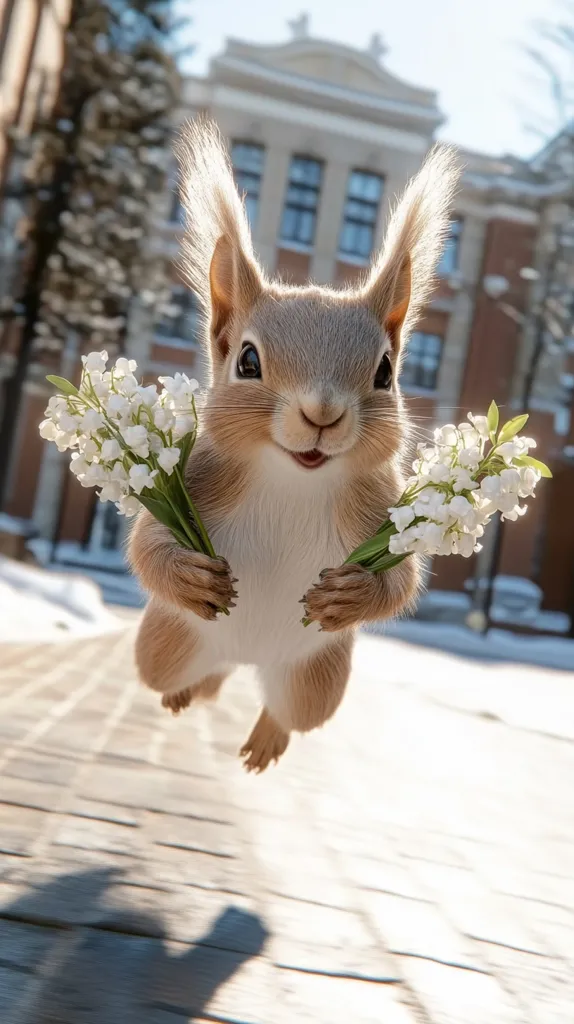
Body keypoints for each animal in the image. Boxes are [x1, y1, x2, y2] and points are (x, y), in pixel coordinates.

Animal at [129, 119, 460, 773]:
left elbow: (403, 578)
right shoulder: (197, 480)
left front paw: (352, 594)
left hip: (316, 681)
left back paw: (266, 738)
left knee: (284, 709)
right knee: (185, 676)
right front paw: (190, 575)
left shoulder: (381, 509)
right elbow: (146, 544)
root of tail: (247, 655)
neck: (295, 479)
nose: (322, 414)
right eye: (247, 361)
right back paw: (184, 693)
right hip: (165, 644)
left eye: (386, 372)